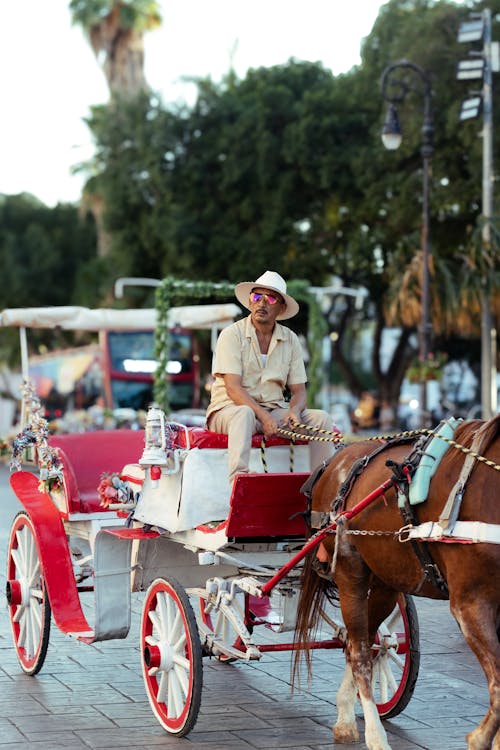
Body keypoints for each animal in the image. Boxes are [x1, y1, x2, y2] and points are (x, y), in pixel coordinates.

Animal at [294, 418, 498, 750]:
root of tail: (334, 462)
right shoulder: (471, 604)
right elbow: (498, 684)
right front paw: (479, 737)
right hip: (350, 573)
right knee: (360, 653)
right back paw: (375, 736)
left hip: (385, 581)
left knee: (362, 642)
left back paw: (345, 718)